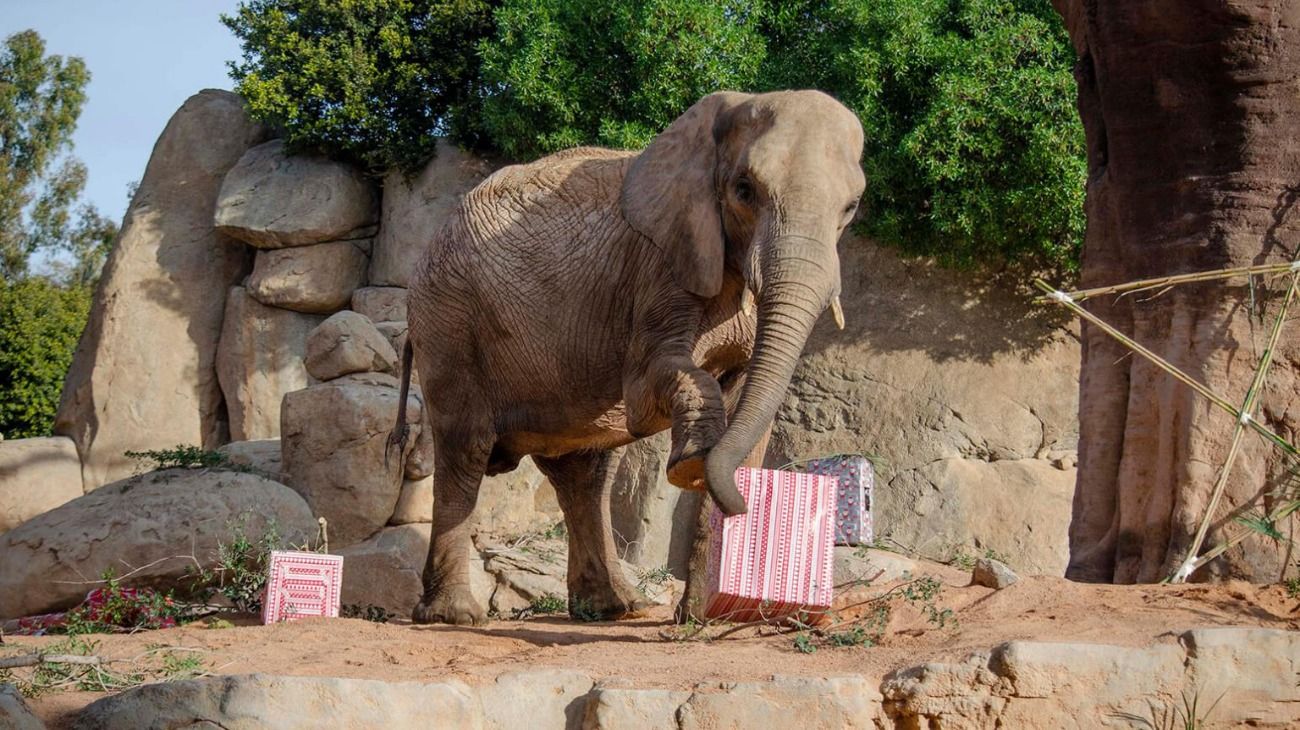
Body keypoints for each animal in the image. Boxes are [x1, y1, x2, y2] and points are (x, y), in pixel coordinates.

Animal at [390, 88, 868, 623]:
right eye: (744, 190)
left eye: (850, 207)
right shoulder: (659, 266)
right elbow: (645, 388)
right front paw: (691, 463)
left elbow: (747, 403)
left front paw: (700, 619)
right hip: (448, 324)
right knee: (466, 449)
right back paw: (453, 615)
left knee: (585, 473)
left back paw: (616, 608)